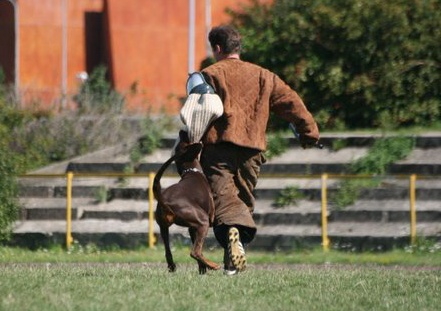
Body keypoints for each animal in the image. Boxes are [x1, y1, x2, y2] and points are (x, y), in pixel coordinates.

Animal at [153, 132, 220, 276]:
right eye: (186, 142)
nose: (182, 132)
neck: (191, 171)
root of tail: (163, 200)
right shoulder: (207, 220)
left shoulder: (192, 228)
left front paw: (202, 270)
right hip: (203, 222)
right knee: (195, 252)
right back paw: (214, 265)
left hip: (163, 227)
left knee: (168, 253)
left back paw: (173, 267)